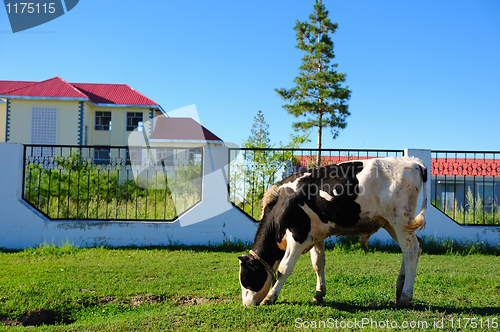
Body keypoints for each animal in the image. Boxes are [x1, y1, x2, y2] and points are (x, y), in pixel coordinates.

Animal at [238, 157, 426, 308]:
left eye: (246, 279)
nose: (246, 304)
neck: (283, 202)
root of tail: (413, 162)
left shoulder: (299, 234)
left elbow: (284, 269)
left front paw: (270, 297)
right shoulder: (316, 235)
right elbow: (318, 263)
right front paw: (318, 293)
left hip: (400, 221)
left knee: (411, 250)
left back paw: (404, 297)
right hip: (392, 224)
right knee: (412, 248)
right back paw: (399, 289)